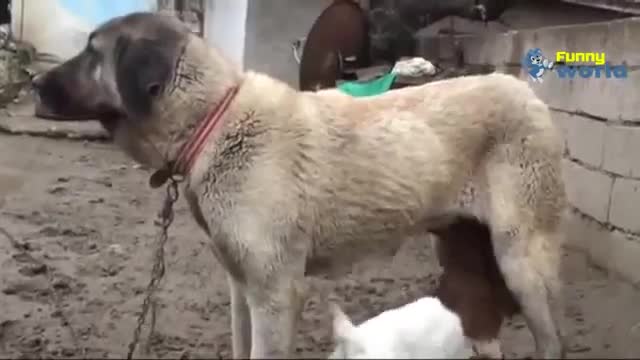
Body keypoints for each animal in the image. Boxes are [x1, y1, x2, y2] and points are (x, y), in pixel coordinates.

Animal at [32, 11, 568, 360]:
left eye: (92, 53)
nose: (34, 84)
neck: (215, 123)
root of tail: (528, 93)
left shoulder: (276, 293)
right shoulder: (241, 287)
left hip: (522, 262)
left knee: (551, 342)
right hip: (465, 253)